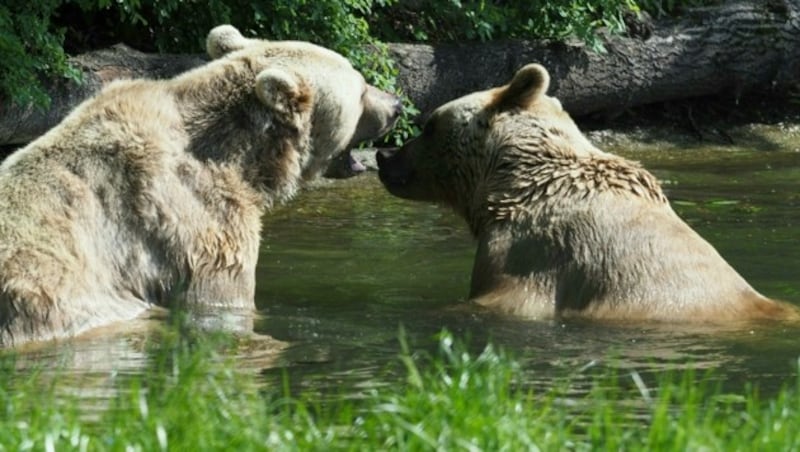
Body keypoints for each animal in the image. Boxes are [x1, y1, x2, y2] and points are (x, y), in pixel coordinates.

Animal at [0, 25, 404, 346]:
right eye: (361, 87)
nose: (397, 104)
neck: (240, 156)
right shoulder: (197, 218)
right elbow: (222, 290)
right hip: (61, 303)